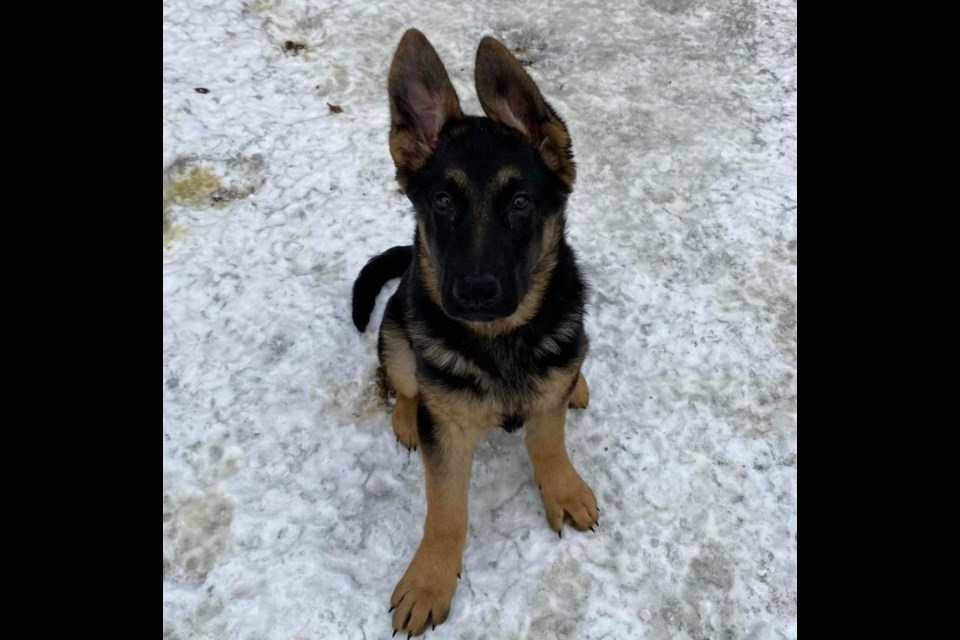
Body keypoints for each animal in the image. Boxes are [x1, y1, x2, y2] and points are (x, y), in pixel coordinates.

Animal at [352, 30, 592, 636]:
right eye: (442, 202)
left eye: (522, 203)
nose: (476, 292)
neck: (502, 339)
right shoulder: (450, 433)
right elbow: (446, 510)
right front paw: (430, 580)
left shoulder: (547, 398)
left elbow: (549, 441)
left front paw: (563, 488)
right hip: (397, 328)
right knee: (402, 378)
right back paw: (407, 415)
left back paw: (578, 381)